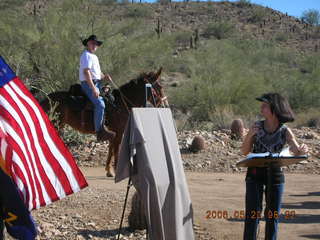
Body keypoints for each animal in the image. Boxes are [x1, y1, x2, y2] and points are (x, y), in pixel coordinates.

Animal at [40, 67, 168, 176]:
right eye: (160, 87)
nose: (165, 105)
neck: (121, 104)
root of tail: (46, 99)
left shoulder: (112, 132)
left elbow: (111, 150)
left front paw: (109, 171)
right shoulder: (119, 132)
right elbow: (116, 150)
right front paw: (116, 170)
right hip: (56, 125)